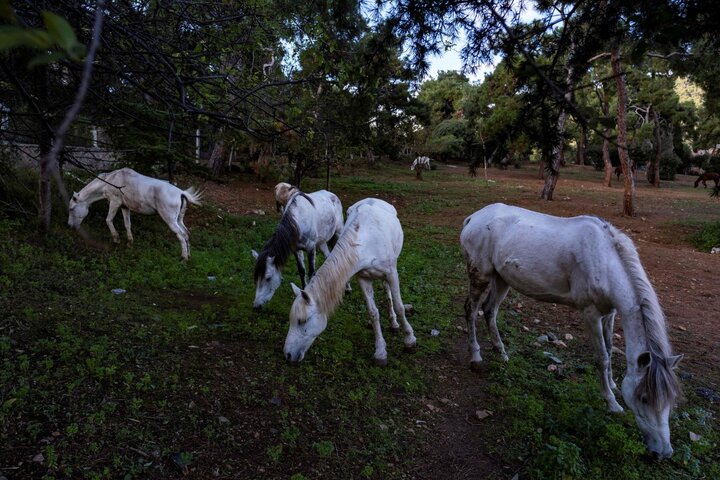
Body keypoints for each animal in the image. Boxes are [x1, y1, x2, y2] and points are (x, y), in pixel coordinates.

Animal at [66, 167, 201, 260]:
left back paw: (184, 258)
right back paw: (189, 256)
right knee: (186, 233)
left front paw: (116, 239)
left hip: (170, 220)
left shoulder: (114, 202)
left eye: (71, 209)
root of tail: (181, 193)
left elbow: (108, 220)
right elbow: (127, 224)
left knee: (181, 235)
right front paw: (130, 242)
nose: (70, 226)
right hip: (179, 219)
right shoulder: (125, 207)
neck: (110, 180)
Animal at [282, 199, 416, 368]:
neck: (366, 243)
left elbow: (399, 307)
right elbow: (373, 312)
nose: (287, 355)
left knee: (388, 291)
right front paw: (380, 352)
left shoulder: (392, 274)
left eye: (302, 321)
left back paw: (394, 323)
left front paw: (410, 340)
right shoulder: (363, 279)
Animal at [458, 202, 684, 458]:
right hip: (481, 275)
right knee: (471, 310)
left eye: (670, 401)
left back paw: (502, 353)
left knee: (489, 311)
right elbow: (602, 358)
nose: (663, 453)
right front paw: (612, 403)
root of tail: (473, 218)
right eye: (644, 398)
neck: (605, 259)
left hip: (501, 279)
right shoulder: (591, 314)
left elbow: (609, 348)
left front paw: (613, 385)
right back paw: (476, 357)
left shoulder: (610, 313)